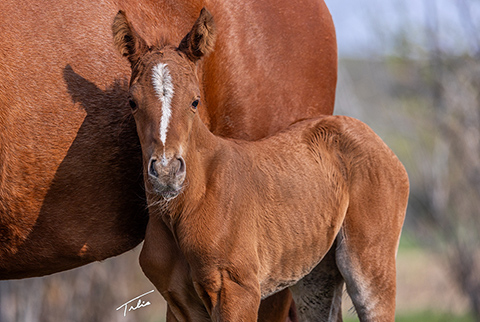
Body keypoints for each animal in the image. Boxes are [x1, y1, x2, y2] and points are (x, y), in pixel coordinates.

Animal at [113, 8, 408, 322]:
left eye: (195, 101)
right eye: (132, 102)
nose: (167, 172)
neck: (185, 207)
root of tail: (368, 134)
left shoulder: (237, 291)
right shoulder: (179, 302)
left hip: (369, 265)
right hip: (317, 273)